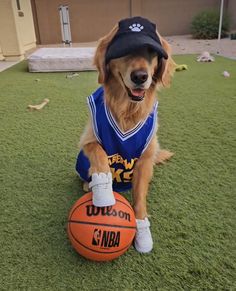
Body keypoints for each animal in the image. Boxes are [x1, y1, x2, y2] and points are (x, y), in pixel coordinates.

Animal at [75, 17, 175, 253]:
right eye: (125, 52)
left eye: (151, 52)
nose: (140, 77)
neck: (127, 110)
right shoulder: (88, 139)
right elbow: (100, 155)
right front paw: (103, 193)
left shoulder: (146, 160)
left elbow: (139, 198)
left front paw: (142, 230)